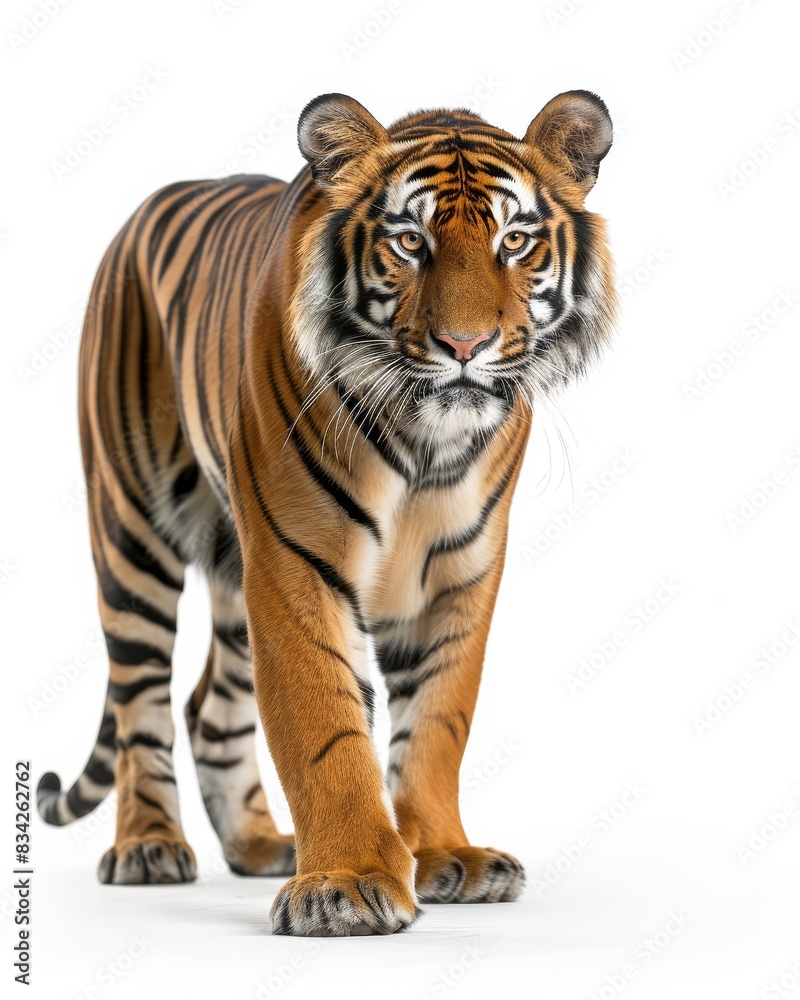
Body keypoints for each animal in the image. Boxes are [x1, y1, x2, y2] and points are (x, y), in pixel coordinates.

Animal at [36, 90, 615, 936]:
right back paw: (148, 846)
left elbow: (437, 723)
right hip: (131, 530)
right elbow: (324, 728)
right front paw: (347, 883)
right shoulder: (296, 565)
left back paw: (256, 844)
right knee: (141, 697)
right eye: (410, 241)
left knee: (210, 705)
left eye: (515, 241)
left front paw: (448, 856)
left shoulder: (459, 576)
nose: (466, 345)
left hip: (231, 566)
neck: (427, 442)